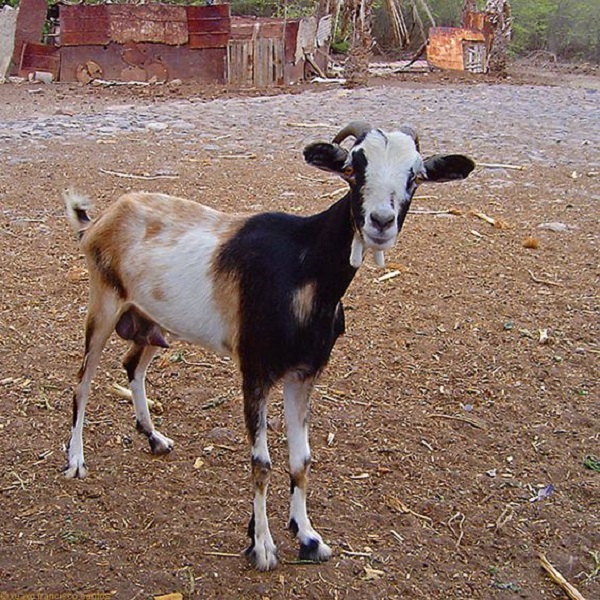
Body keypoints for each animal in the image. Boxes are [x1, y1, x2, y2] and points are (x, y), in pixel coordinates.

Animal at [62, 119, 474, 568]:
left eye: (415, 176)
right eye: (352, 168)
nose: (380, 222)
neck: (302, 266)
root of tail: (100, 220)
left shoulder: (303, 374)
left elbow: (301, 459)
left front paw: (308, 537)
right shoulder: (255, 371)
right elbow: (261, 462)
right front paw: (261, 545)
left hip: (156, 321)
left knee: (133, 365)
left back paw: (155, 439)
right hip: (103, 305)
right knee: (82, 381)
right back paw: (76, 461)